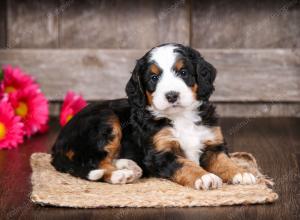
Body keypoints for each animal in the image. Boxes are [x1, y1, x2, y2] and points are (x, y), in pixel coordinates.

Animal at [51, 43, 255, 189]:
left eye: (183, 72)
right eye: (154, 78)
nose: (172, 95)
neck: (181, 117)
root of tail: (58, 142)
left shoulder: (212, 143)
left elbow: (224, 161)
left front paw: (240, 172)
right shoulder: (160, 153)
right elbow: (185, 164)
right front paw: (204, 176)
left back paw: (128, 166)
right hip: (106, 120)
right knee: (92, 161)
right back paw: (119, 174)